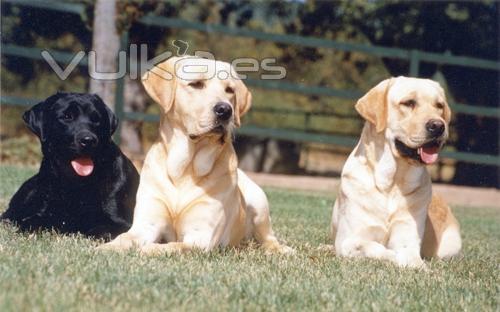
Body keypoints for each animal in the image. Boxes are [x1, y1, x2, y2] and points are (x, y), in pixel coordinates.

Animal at [1, 92, 140, 239]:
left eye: (96, 119)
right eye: (67, 116)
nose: (88, 140)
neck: (76, 183)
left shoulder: (122, 223)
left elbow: (97, 230)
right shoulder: (45, 212)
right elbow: (31, 221)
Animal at [99, 56, 292, 256]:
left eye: (230, 90)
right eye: (196, 84)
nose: (225, 110)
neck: (183, 170)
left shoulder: (201, 237)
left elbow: (173, 246)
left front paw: (150, 249)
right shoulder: (146, 225)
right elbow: (124, 238)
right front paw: (106, 247)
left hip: (259, 201)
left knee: (268, 238)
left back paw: (281, 249)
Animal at [330, 77, 462, 266]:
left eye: (439, 105)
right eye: (409, 103)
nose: (438, 126)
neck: (391, 184)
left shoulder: (407, 238)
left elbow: (408, 255)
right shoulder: (347, 241)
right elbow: (376, 248)